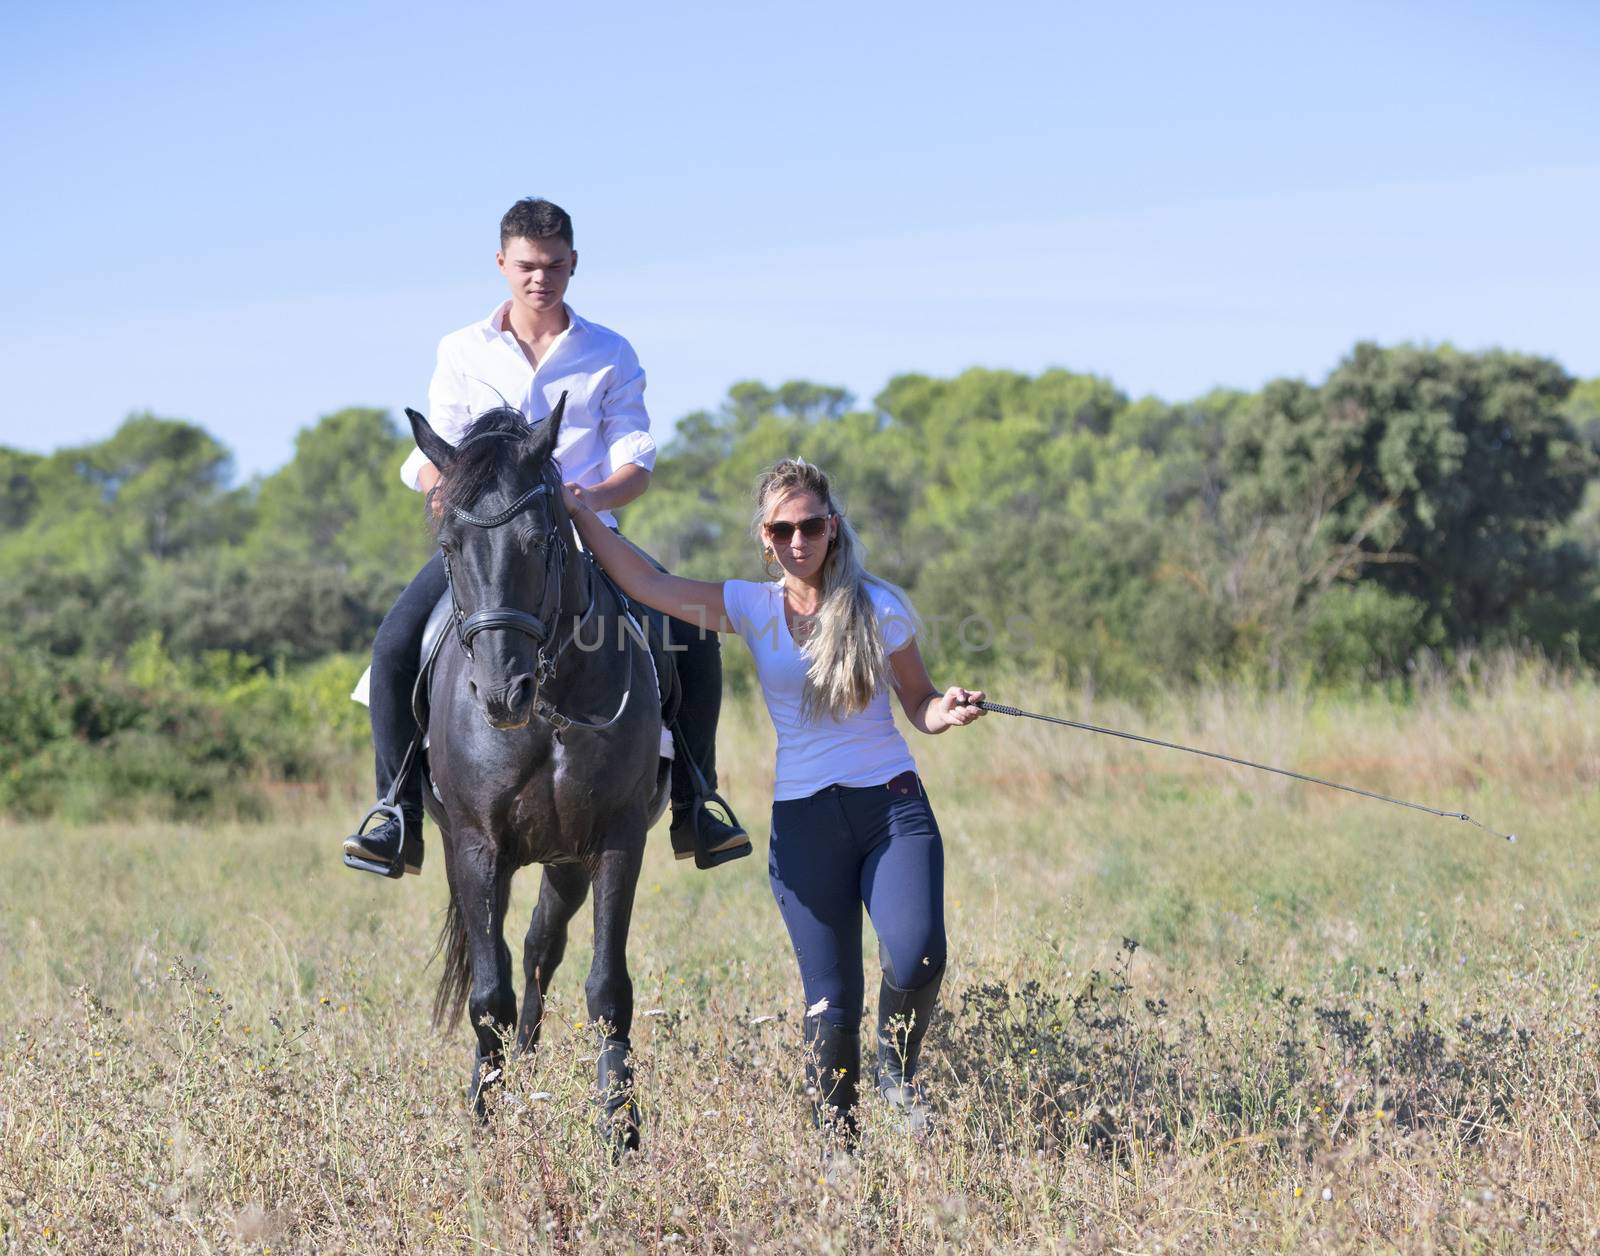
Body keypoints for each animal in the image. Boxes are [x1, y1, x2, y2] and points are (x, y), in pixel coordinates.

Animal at [412, 395, 668, 1145]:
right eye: (449, 548)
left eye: (539, 540)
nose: (503, 694)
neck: (553, 706)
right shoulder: (474, 847)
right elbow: (486, 995)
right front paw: (482, 1120)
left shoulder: (616, 842)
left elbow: (607, 988)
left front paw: (620, 1127)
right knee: (503, 958)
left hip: (565, 861)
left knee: (537, 948)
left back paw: (527, 1069)